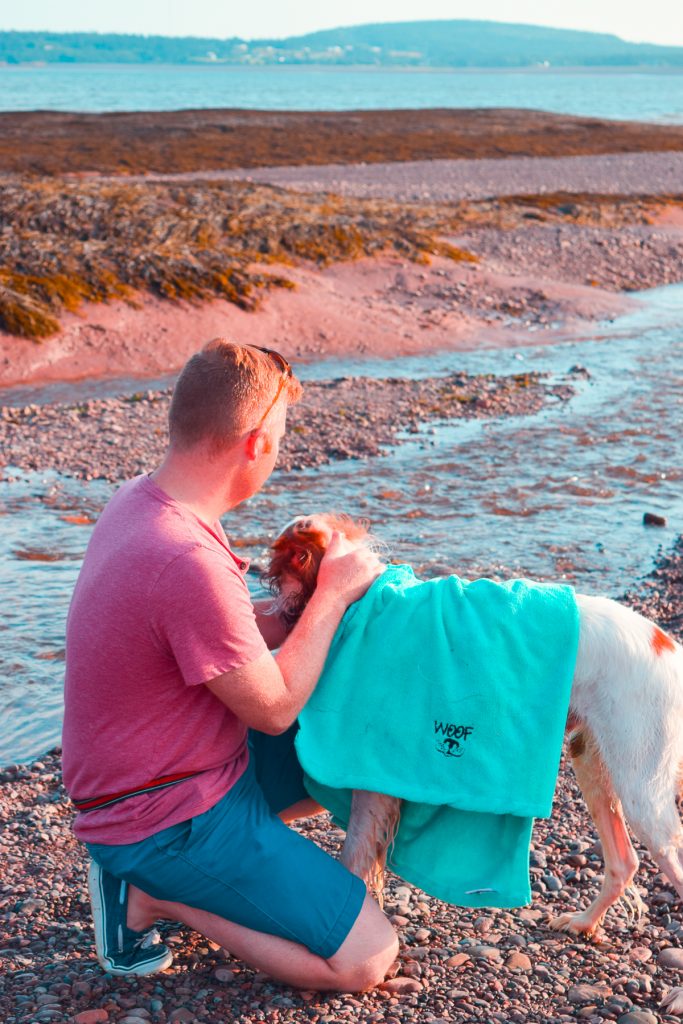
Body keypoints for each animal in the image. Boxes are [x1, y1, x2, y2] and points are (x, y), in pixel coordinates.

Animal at [264, 512, 683, 1015]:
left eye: (279, 565)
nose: (263, 598)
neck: (363, 598)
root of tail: (669, 648)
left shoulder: (372, 788)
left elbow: (352, 865)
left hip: (643, 789)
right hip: (594, 764)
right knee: (624, 862)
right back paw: (584, 922)